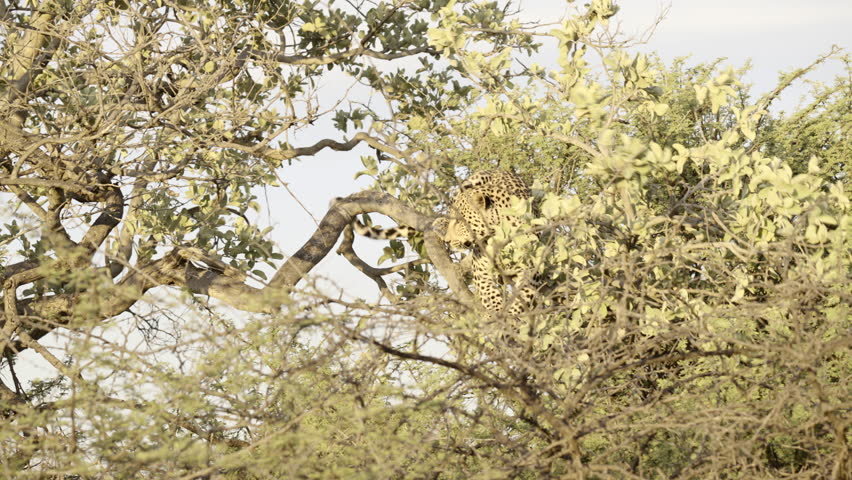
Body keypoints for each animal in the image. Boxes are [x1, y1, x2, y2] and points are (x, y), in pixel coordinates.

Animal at [353, 169, 535, 315]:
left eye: (459, 222)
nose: (448, 239)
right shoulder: (481, 271)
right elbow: (489, 294)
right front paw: (496, 315)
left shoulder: (530, 267)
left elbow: (524, 294)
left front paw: (510, 317)